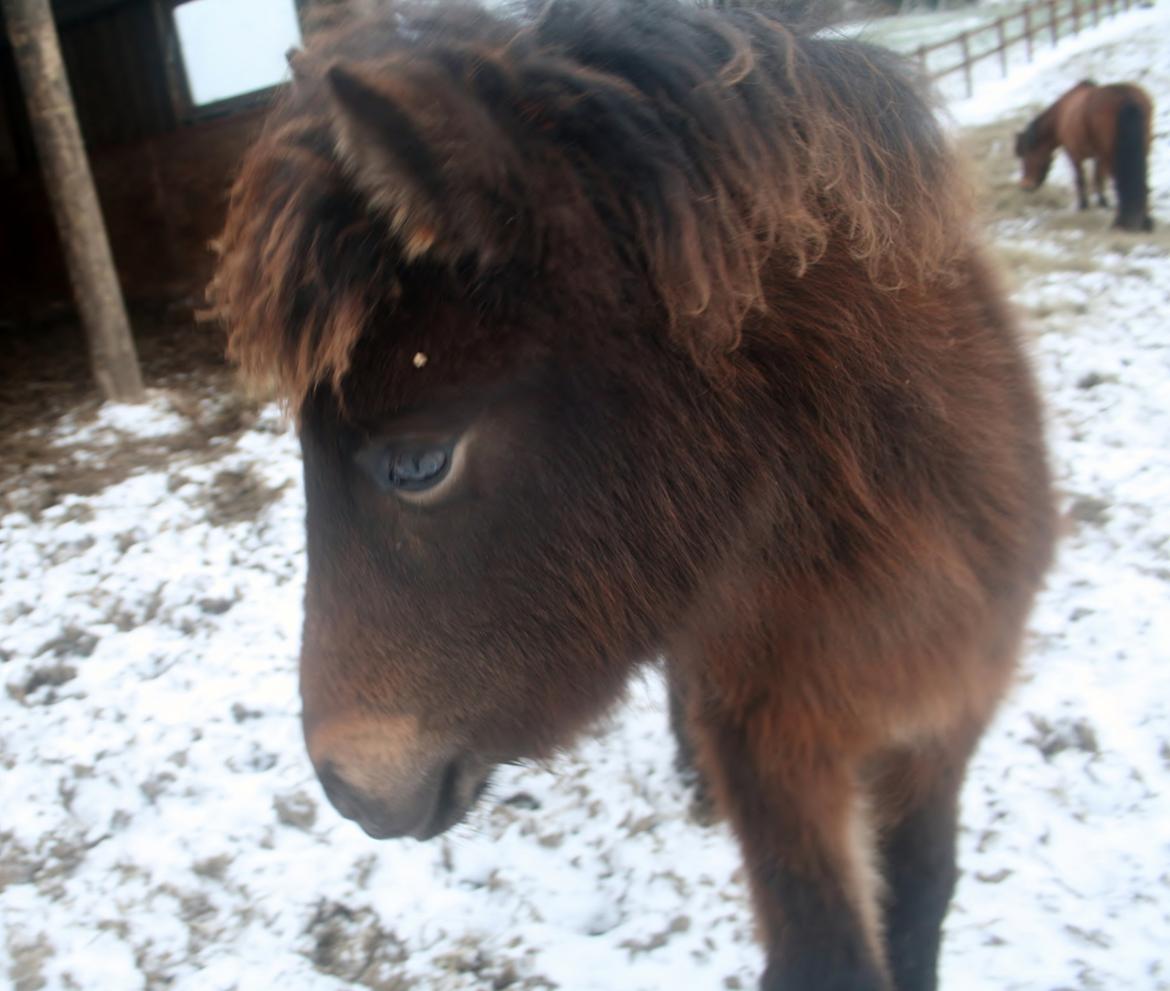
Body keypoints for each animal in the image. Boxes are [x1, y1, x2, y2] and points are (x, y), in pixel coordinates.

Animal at [212, 3, 1062, 987]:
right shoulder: (778, 750)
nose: (346, 786)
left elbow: (922, 896)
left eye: (419, 463)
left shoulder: (945, 726)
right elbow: (825, 946)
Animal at [1015, 80, 1151, 232]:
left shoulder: (1074, 154)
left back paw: (1121, 222)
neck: (1061, 115)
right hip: (1142, 150)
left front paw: (1083, 205)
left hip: (1112, 156)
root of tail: (1127, 98)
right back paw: (1145, 222)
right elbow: (1098, 178)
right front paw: (1102, 202)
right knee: (1143, 183)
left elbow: (1080, 179)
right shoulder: (1099, 157)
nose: (1025, 186)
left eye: (1026, 157)